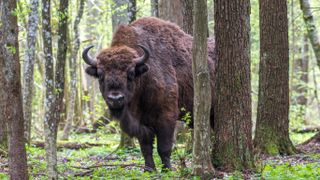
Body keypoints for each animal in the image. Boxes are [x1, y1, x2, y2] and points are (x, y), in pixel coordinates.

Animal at [82, 16, 215, 170]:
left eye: (131, 73)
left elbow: (164, 147)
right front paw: (149, 169)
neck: (145, 76)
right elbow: (145, 147)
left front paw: (167, 169)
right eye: (100, 74)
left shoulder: (167, 117)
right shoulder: (142, 123)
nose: (115, 98)